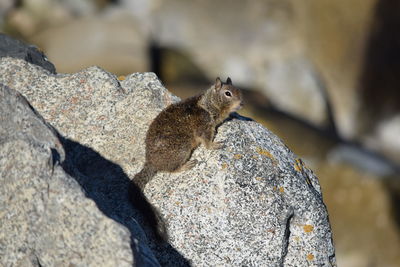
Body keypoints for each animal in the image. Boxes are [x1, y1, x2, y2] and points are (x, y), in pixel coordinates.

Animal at [128, 77, 242, 241]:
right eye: (228, 93)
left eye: (239, 91)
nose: (241, 104)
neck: (208, 104)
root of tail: (150, 162)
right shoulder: (204, 126)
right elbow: (206, 142)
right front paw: (215, 145)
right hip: (183, 149)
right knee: (171, 169)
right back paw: (187, 165)